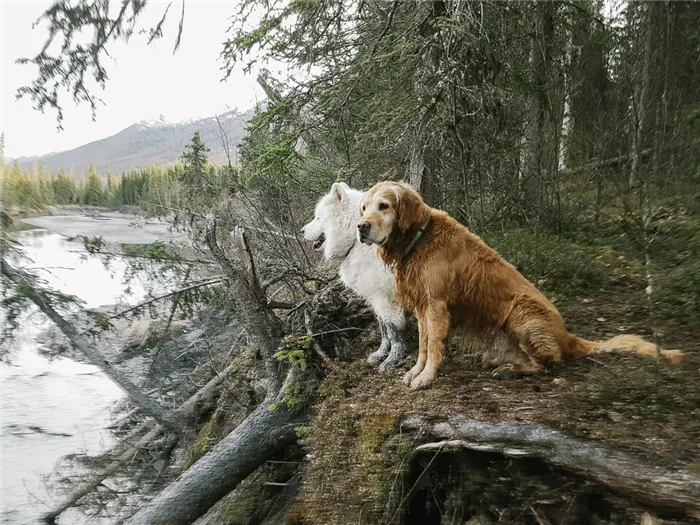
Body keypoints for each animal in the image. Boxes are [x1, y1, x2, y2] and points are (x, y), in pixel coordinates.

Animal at [302, 182, 410, 370]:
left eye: (318, 218)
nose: (301, 231)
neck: (355, 241)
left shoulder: (385, 299)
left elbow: (393, 330)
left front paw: (392, 359)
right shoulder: (374, 298)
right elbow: (383, 328)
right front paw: (381, 353)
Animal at [358, 180, 680, 388]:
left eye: (384, 206)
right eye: (363, 208)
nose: (361, 227)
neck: (419, 237)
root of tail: (568, 336)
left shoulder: (436, 306)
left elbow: (434, 345)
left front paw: (425, 377)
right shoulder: (423, 306)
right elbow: (424, 344)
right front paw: (416, 371)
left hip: (521, 312)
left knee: (547, 362)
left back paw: (510, 370)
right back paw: (502, 364)